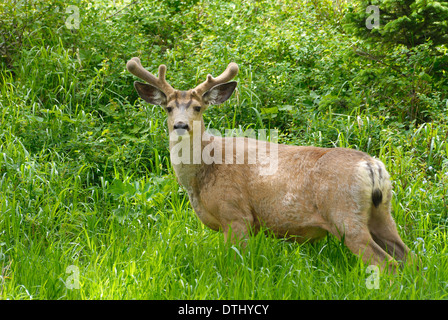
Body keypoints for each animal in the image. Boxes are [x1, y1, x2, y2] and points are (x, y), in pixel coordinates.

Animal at [125, 57, 416, 272]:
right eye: (168, 108)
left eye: (197, 107)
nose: (180, 125)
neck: (201, 175)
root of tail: (372, 166)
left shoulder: (236, 214)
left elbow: (236, 263)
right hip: (382, 213)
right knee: (409, 257)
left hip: (345, 214)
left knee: (385, 263)